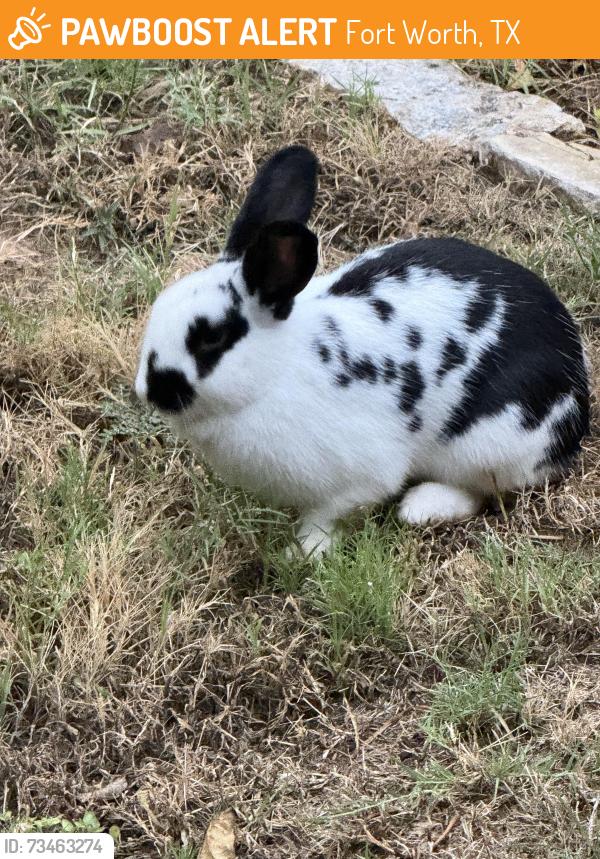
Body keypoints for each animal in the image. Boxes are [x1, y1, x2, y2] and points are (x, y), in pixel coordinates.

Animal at [135, 145, 590, 557]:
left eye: (212, 338)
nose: (149, 391)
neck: (277, 373)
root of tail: (578, 403)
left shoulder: (360, 478)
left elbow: (330, 514)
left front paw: (302, 554)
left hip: (488, 446)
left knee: (484, 492)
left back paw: (419, 508)